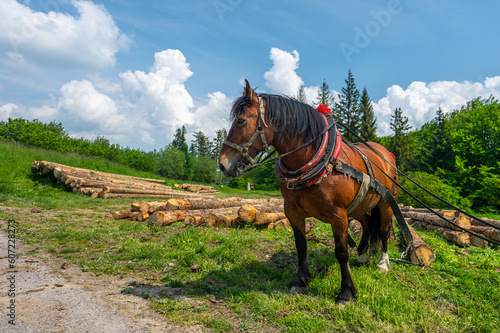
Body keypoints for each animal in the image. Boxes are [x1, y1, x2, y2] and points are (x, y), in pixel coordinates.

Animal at [219, 80, 398, 300]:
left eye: (241, 121)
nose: (222, 165)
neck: (317, 160)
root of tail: (385, 153)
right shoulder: (292, 211)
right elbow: (301, 246)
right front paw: (301, 280)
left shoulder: (338, 214)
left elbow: (341, 251)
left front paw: (346, 291)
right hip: (360, 205)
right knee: (367, 224)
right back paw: (363, 255)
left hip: (385, 202)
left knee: (383, 231)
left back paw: (383, 263)